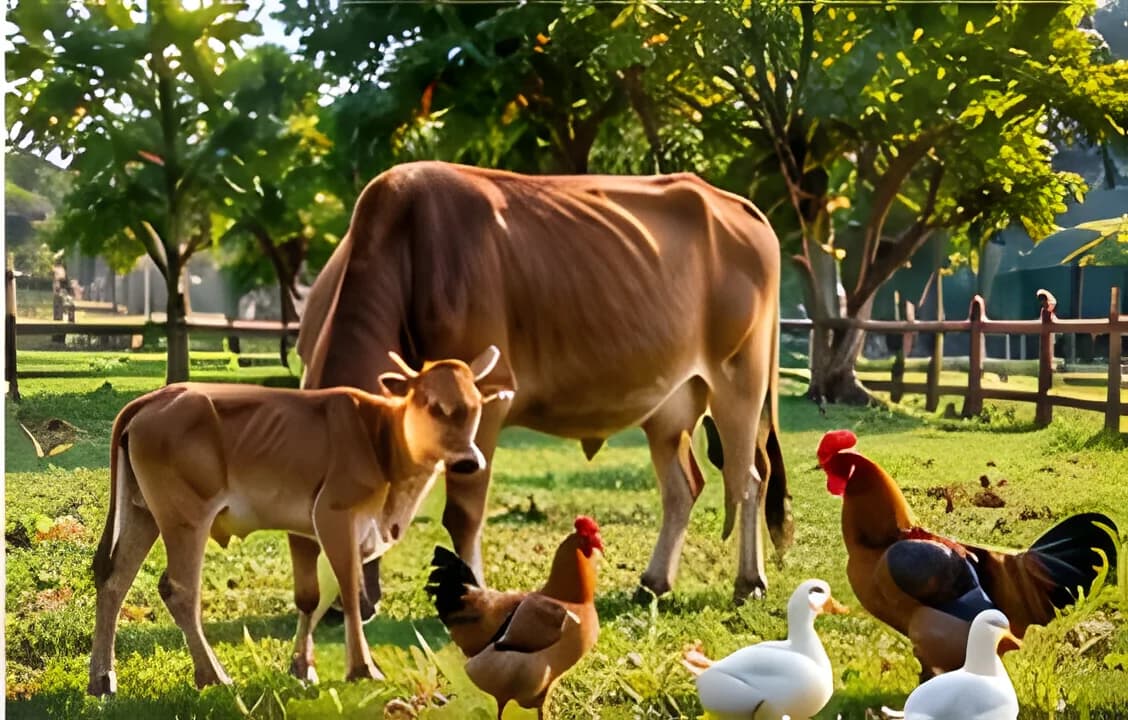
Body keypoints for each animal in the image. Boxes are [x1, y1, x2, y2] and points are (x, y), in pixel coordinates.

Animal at [87, 346, 512, 695]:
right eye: (431, 403)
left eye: (476, 405)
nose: (469, 460)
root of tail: (155, 397)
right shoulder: (336, 515)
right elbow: (349, 590)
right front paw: (363, 669)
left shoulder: (306, 528)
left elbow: (311, 596)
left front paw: (302, 668)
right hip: (186, 516)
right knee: (179, 589)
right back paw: (213, 676)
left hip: (143, 511)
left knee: (114, 581)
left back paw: (102, 680)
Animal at [297, 161, 793, 615]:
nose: (340, 607)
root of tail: (736, 204)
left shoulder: (488, 399)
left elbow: (463, 513)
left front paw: (471, 591)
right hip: (670, 403)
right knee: (683, 486)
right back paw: (652, 583)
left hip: (739, 379)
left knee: (749, 476)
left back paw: (749, 582)